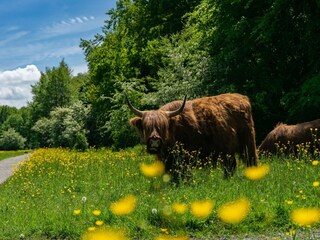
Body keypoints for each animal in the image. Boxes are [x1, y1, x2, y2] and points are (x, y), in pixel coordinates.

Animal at [126, 93, 258, 177]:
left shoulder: (186, 157)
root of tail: (242, 97)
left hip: (248, 142)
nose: (154, 141)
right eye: (146, 127)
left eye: (163, 126)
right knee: (231, 165)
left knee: (250, 160)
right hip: (228, 150)